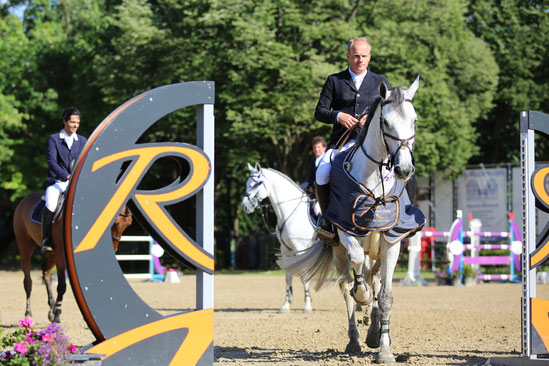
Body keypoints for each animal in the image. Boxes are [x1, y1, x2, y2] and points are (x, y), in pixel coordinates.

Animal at [12, 192, 133, 324]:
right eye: (114, 222)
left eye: (128, 224)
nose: (114, 249)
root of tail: (25, 200)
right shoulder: (60, 255)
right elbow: (62, 286)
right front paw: (57, 318)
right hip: (25, 246)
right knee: (28, 281)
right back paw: (29, 313)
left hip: (52, 254)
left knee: (46, 272)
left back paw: (51, 309)